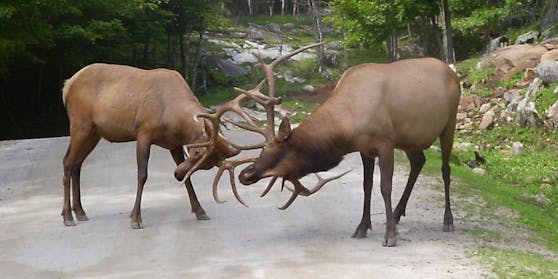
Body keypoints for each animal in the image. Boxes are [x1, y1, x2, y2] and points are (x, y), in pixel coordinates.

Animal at [61, 64, 241, 230]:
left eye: (207, 165)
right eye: (197, 151)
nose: (177, 174)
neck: (173, 118)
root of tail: (67, 85)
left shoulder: (174, 144)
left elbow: (188, 178)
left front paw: (200, 211)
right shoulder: (143, 132)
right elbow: (142, 175)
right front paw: (135, 218)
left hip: (94, 132)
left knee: (77, 163)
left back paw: (80, 212)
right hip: (80, 124)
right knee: (67, 161)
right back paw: (68, 216)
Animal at [238, 57, 462, 247]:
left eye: (276, 151)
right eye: (263, 149)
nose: (245, 174)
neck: (347, 127)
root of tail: (451, 71)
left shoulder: (386, 143)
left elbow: (385, 187)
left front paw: (390, 236)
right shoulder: (366, 149)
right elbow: (367, 185)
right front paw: (362, 226)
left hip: (449, 123)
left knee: (446, 170)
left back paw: (448, 220)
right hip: (411, 140)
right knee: (419, 162)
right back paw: (398, 213)